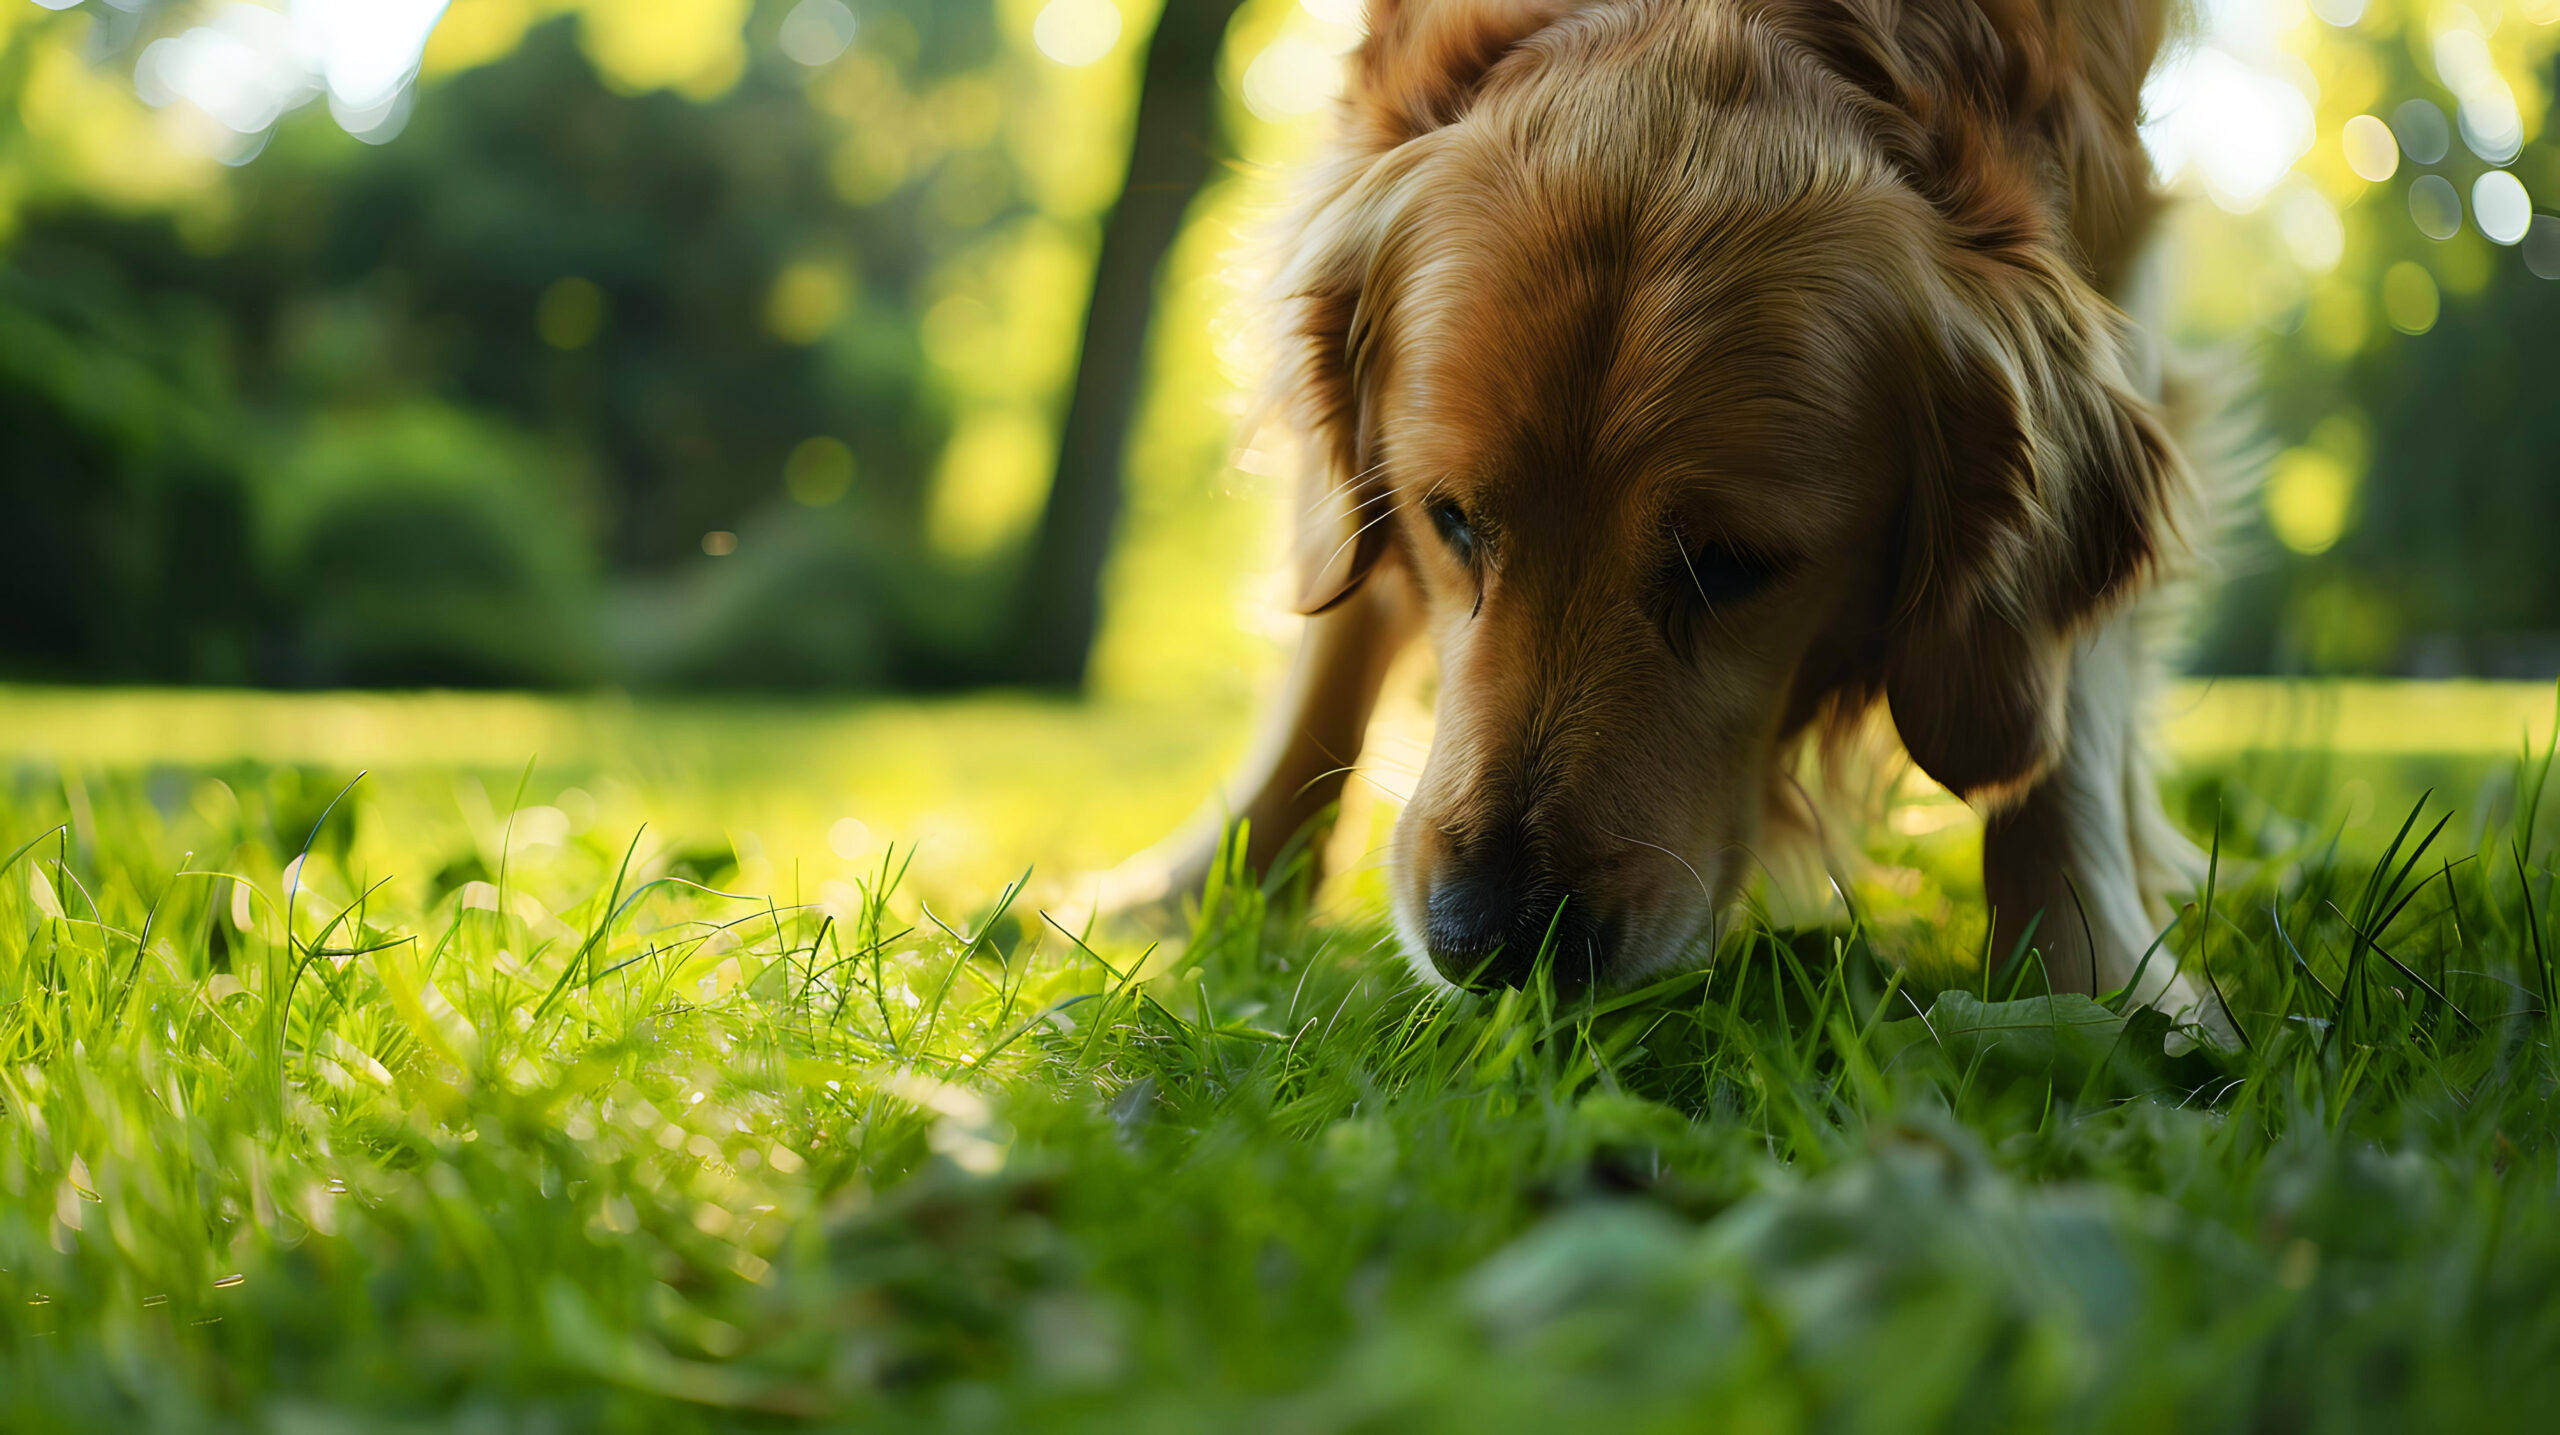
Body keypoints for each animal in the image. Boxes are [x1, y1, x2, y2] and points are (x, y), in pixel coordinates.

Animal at [1116, 0, 2222, 1028]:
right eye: (1451, 520)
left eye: (1732, 564)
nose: (1488, 942)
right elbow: (1342, 619)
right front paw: (1218, 886)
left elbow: (2063, 717)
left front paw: (2095, 985)